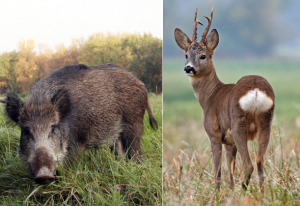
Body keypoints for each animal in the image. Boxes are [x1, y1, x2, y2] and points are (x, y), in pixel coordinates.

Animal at [175, 8, 276, 190]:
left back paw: (244, 191)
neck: (209, 97)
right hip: (266, 123)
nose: (188, 68)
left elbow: (218, 172)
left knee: (249, 165)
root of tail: (256, 91)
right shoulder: (229, 142)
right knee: (259, 163)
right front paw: (230, 192)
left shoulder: (214, 134)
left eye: (203, 56)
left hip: (238, 125)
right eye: (186, 55)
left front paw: (216, 194)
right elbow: (230, 174)